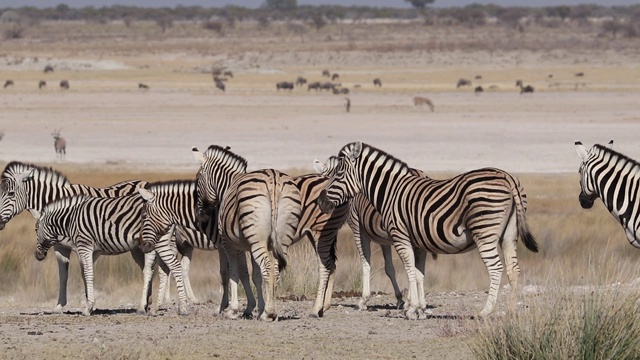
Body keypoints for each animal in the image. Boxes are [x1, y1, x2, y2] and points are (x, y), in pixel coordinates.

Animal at [191, 145, 302, 320]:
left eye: (197, 178)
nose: (200, 217)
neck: (228, 185)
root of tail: (274, 181)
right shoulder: (250, 246)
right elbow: (255, 275)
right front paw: (259, 307)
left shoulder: (229, 244)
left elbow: (234, 272)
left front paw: (233, 309)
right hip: (281, 240)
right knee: (275, 269)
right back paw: (271, 311)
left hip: (257, 240)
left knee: (267, 268)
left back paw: (269, 313)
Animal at [318, 142, 536, 320]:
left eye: (338, 175)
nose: (320, 201)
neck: (390, 192)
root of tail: (506, 176)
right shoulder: (418, 242)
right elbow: (419, 273)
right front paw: (420, 309)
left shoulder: (398, 236)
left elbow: (407, 270)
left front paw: (411, 309)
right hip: (509, 235)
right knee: (513, 269)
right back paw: (511, 311)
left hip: (485, 233)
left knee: (496, 268)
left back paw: (485, 311)